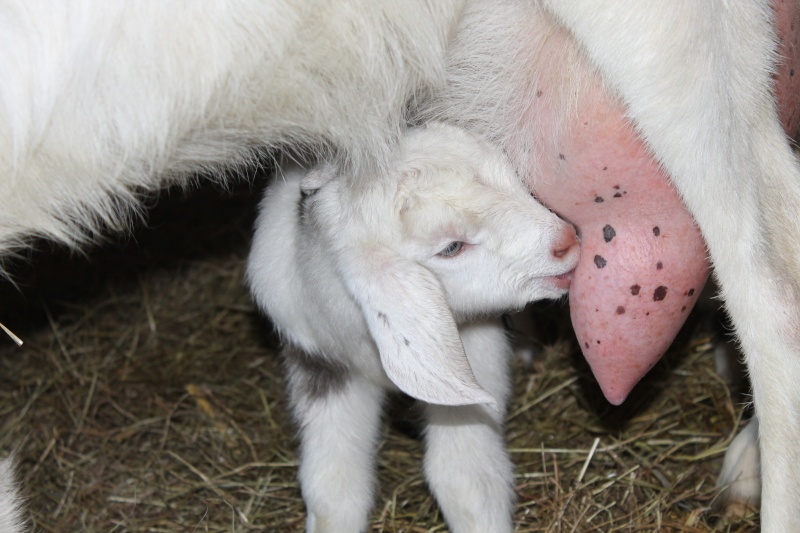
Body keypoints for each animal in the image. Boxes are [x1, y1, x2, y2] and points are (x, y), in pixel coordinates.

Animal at [247, 121, 580, 532]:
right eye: (451, 247)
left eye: (513, 180)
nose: (566, 240)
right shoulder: (324, 366)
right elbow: (332, 488)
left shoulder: (473, 354)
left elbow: (466, 477)